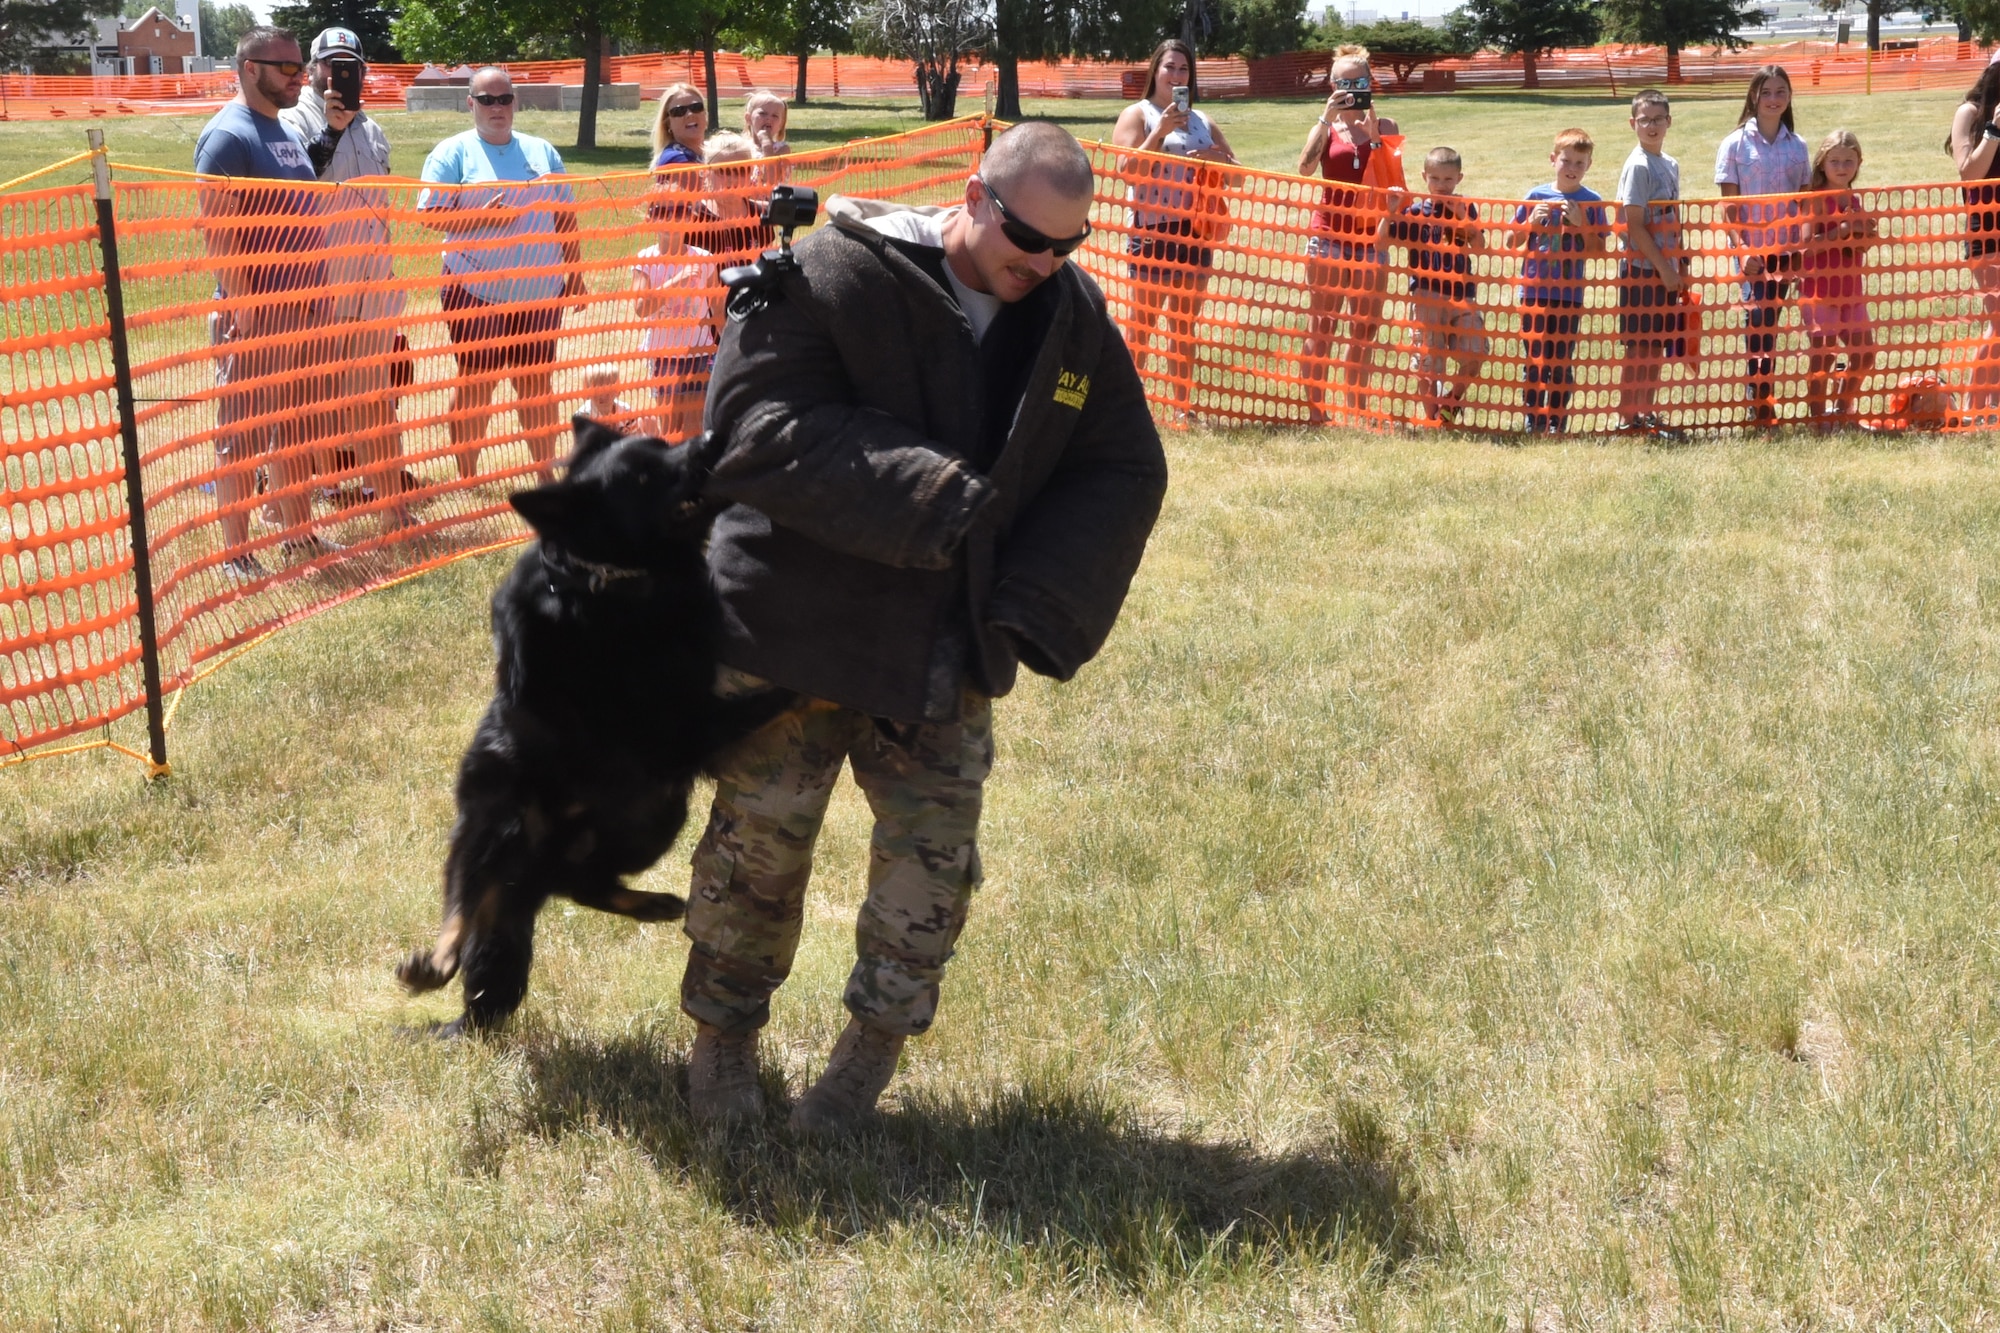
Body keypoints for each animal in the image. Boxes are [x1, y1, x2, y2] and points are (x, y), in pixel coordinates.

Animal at [400, 420, 788, 1032]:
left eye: (662, 445)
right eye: (644, 477)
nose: (711, 436)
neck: (614, 587)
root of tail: (532, 871)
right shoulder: (673, 723)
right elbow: (754, 704)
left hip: (652, 819)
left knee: (581, 886)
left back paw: (649, 903)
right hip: (493, 821)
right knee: (463, 906)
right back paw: (435, 961)